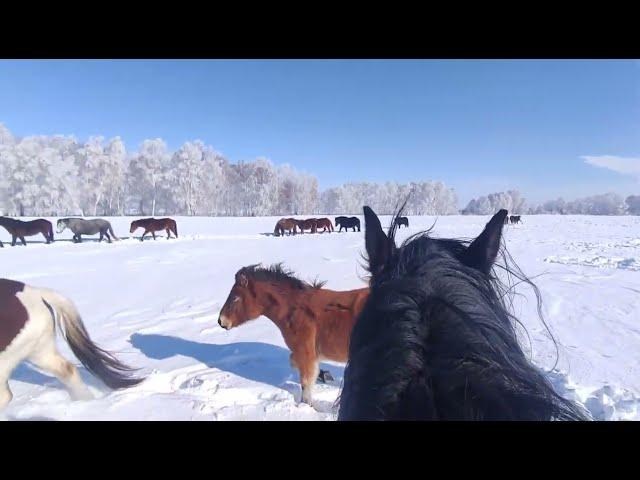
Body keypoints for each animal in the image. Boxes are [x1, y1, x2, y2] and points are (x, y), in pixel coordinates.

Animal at [219, 262, 370, 404]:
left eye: (235, 298)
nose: (221, 321)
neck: (295, 311)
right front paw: (324, 375)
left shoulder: (305, 353)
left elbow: (306, 383)